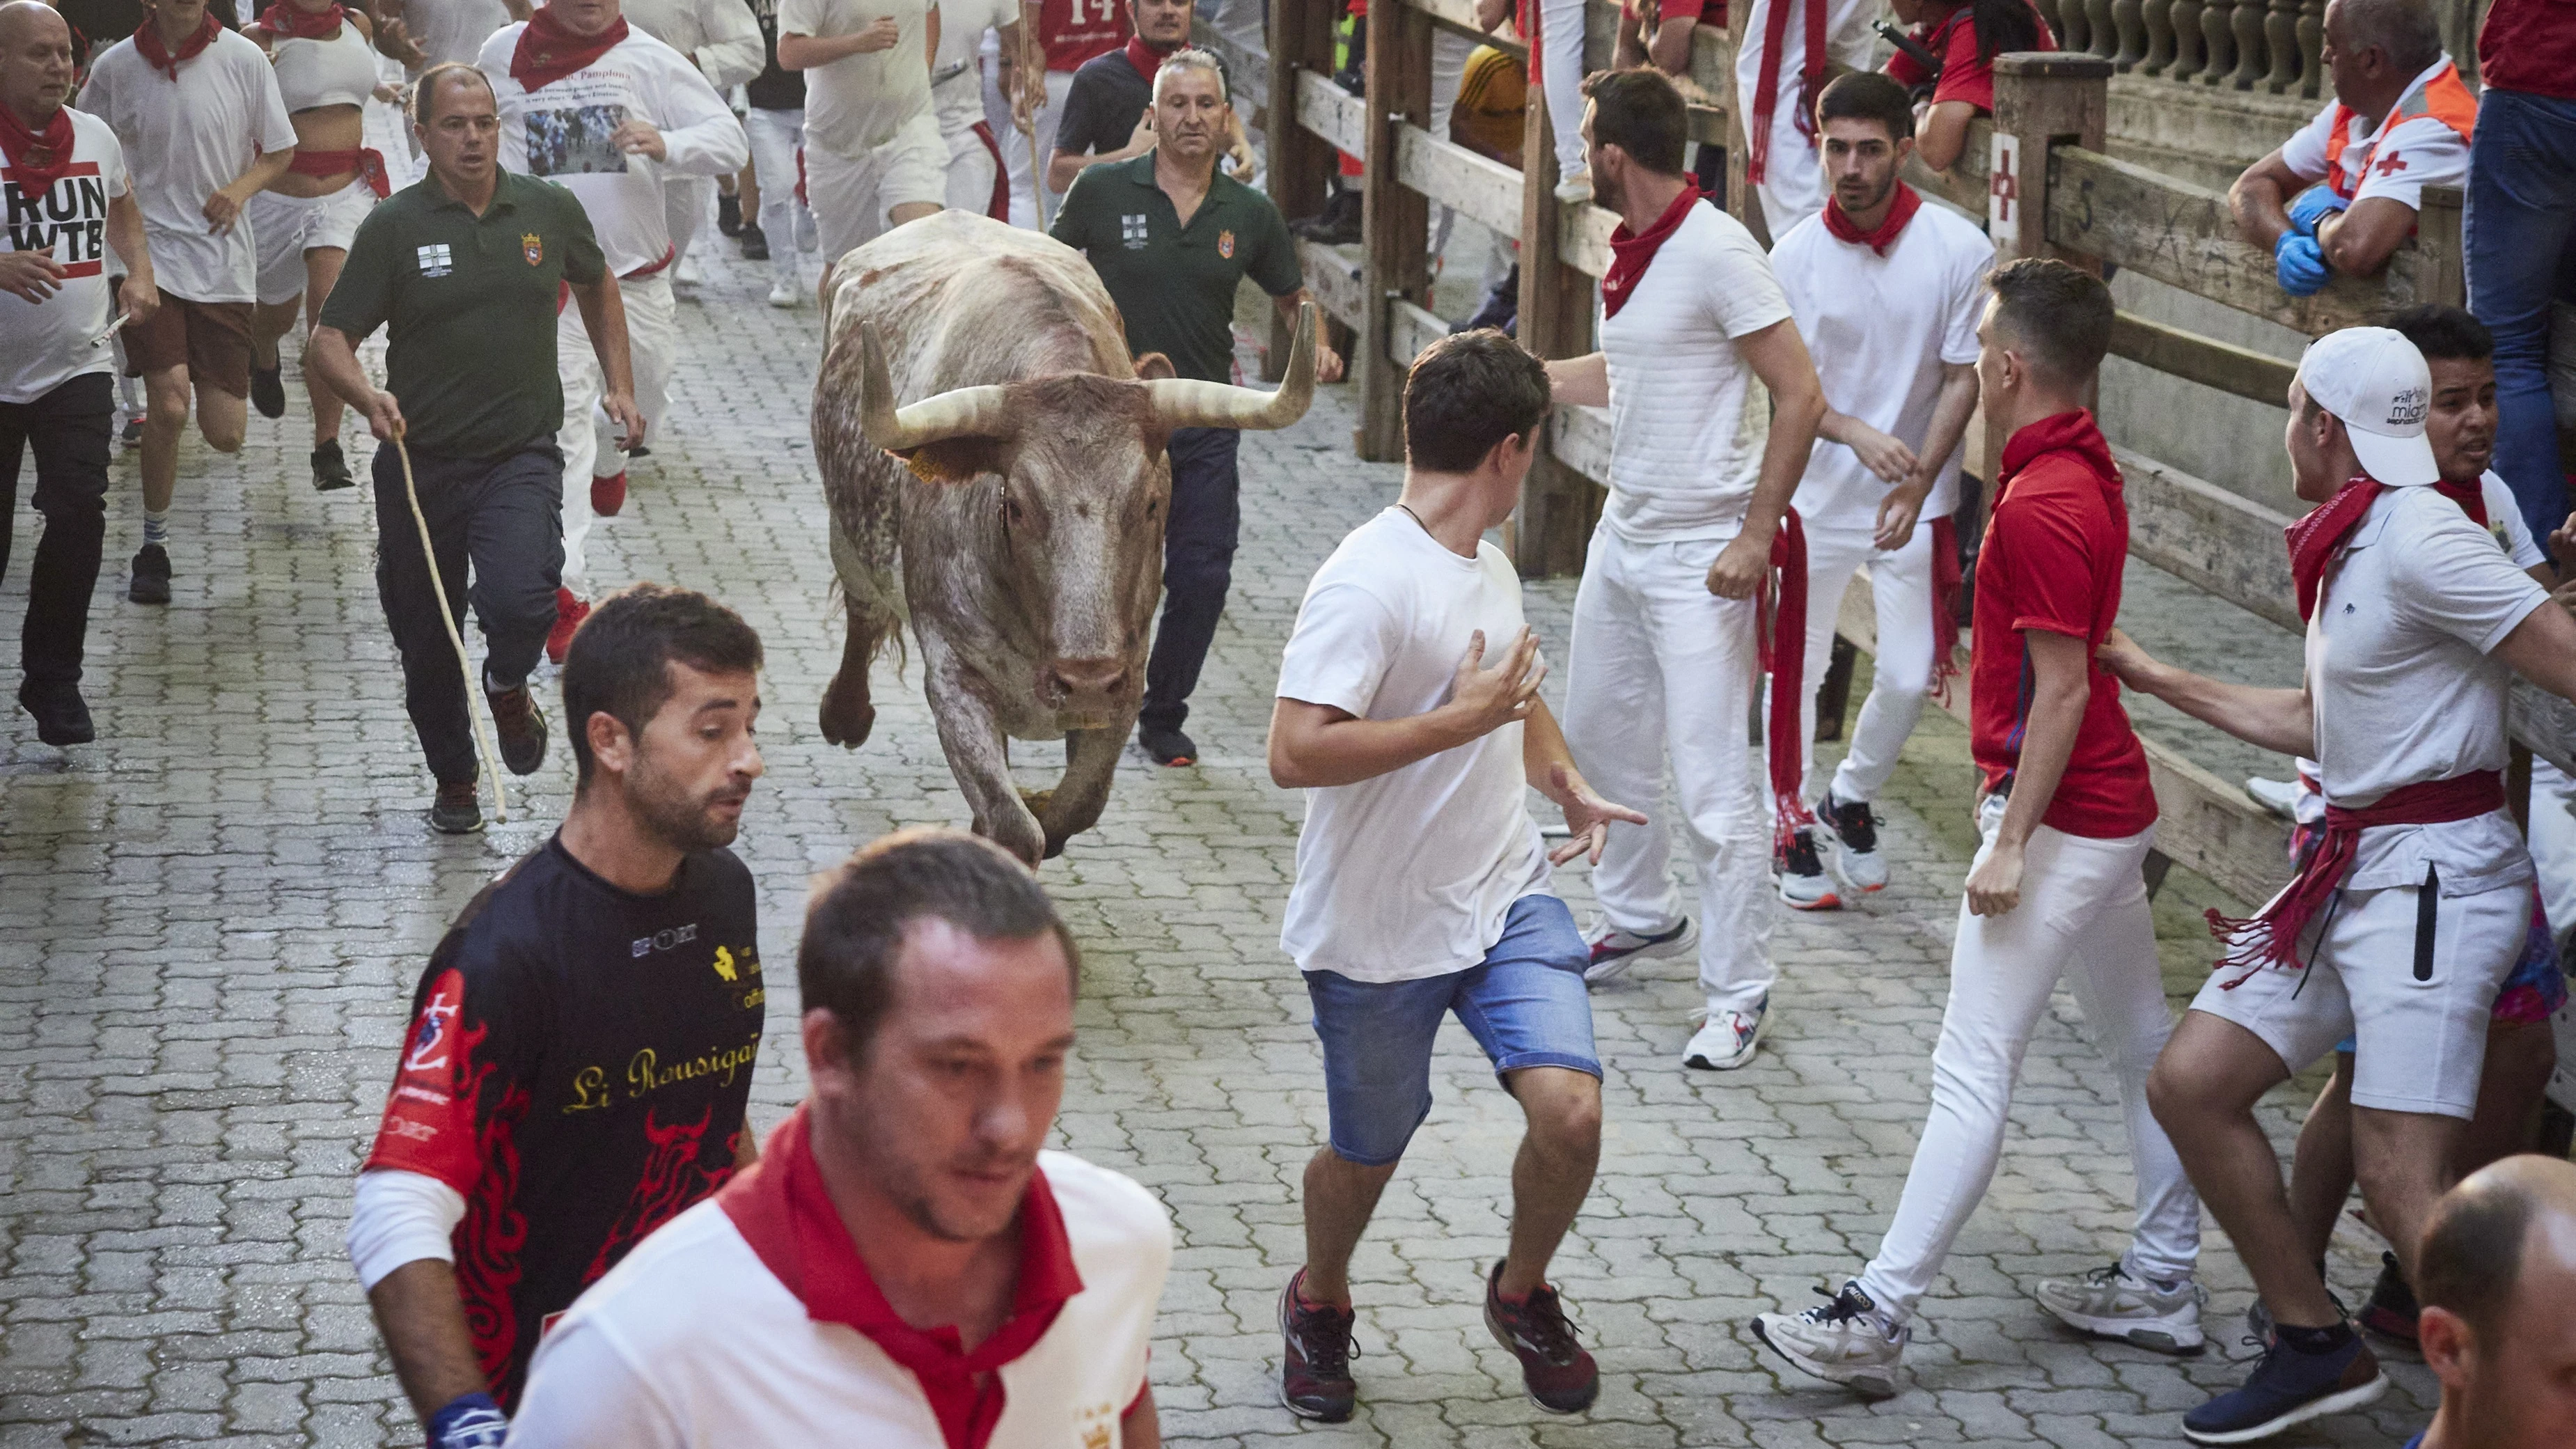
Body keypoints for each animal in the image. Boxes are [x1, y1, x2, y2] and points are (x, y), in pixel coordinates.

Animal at [814, 214, 1319, 856]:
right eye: (1016, 506)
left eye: (1151, 502)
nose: (1085, 679)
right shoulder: (953, 679)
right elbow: (1014, 826)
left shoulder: (1126, 678)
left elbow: (1075, 807)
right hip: (847, 534)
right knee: (864, 610)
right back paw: (845, 714)